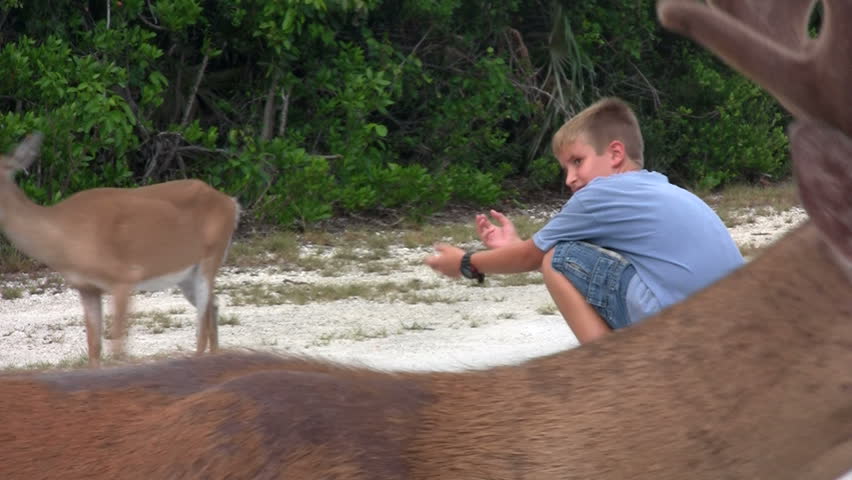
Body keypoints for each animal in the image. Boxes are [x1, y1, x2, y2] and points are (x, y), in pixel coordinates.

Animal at [0, 134, 240, 367]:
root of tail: (231, 202)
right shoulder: (86, 287)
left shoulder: (124, 277)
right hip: (186, 275)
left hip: (211, 256)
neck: (63, 237)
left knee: (202, 322)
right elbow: (94, 349)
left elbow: (117, 348)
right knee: (213, 306)